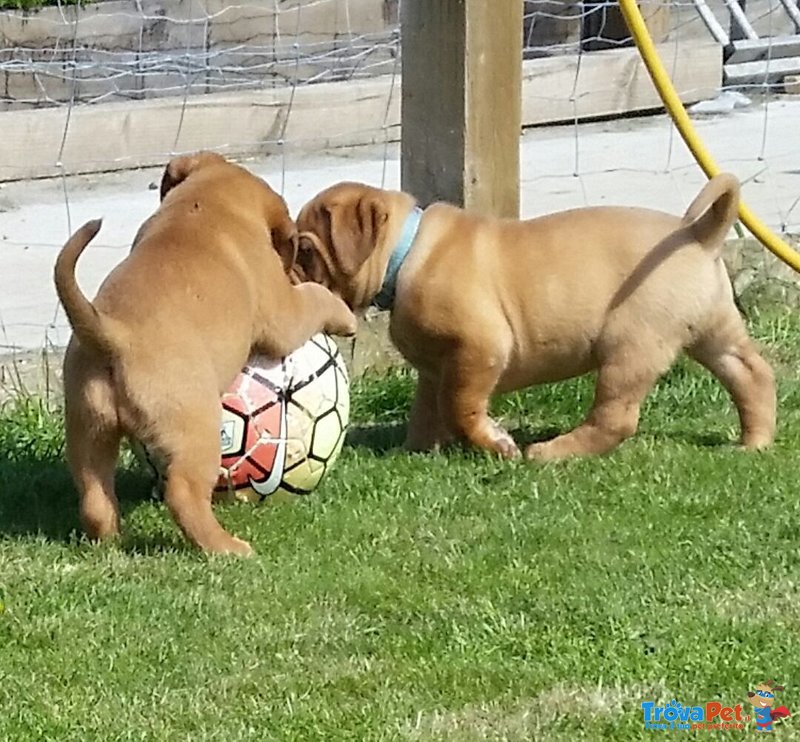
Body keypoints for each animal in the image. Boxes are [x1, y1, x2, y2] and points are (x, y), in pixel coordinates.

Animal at [56, 153, 356, 560]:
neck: (205, 204)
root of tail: (114, 334)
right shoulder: (284, 314)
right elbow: (313, 298)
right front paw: (344, 314)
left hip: (89, 427)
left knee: (94, 494)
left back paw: (111, 541)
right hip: (196, 428)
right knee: (183, 493)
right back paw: (226, 547)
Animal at [294, 177, 776, 462]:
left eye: (304, 251)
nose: (289, 283)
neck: (406, 252)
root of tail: (698, 234)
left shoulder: (480, 349)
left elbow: (460, 405)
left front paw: (494, 443)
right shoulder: (436, 366)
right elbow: (428, 408)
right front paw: (419, 449)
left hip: (630, 344)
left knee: (615, 417)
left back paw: (551, 453)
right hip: (714, 332)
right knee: (752, 374)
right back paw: (755, 441)